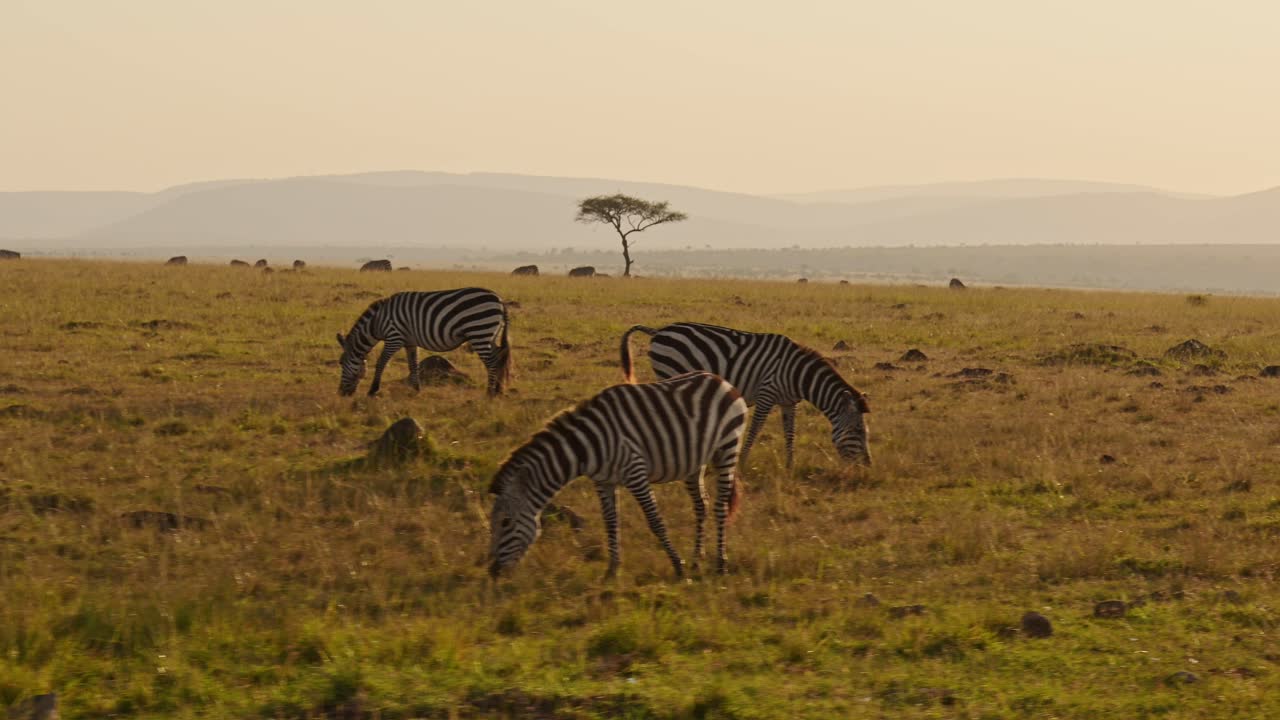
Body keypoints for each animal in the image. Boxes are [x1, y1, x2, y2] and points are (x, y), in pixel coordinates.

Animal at [336, 288, 511, 397]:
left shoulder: (394, 337)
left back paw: (489, 393)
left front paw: (373, 390)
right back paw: (498, 390)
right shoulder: (410, 342)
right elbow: (413, 365)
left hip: (479, 331)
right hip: (489, 334)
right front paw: (416, 389)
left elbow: (381, 363)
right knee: (500, 356)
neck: (376, 322)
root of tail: (500, 299)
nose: (341, 393)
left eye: (341, 363)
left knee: (492, 362)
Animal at [488, 371, 747, 579]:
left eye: (505, 522)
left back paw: (720, 563)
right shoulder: (603, 482)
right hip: (695, 464)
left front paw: (677, 565)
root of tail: (721, 380)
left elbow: (655, 521)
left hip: (727, 448)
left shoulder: (635, 472)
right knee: (701, 505)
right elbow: (611, 522)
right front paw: (612, 570)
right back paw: (696, 558)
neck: (586, 446)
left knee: (720, 506)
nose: (492, 572)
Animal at [619, 322, 871, 469]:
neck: (798, 375)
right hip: (670, 372)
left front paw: (790, 465)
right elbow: (755, 429)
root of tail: (659, 330)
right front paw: (743, 462)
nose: (867, 466)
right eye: (858, 430)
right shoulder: (766, 394)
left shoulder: (789, 403)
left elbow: (790, 433)